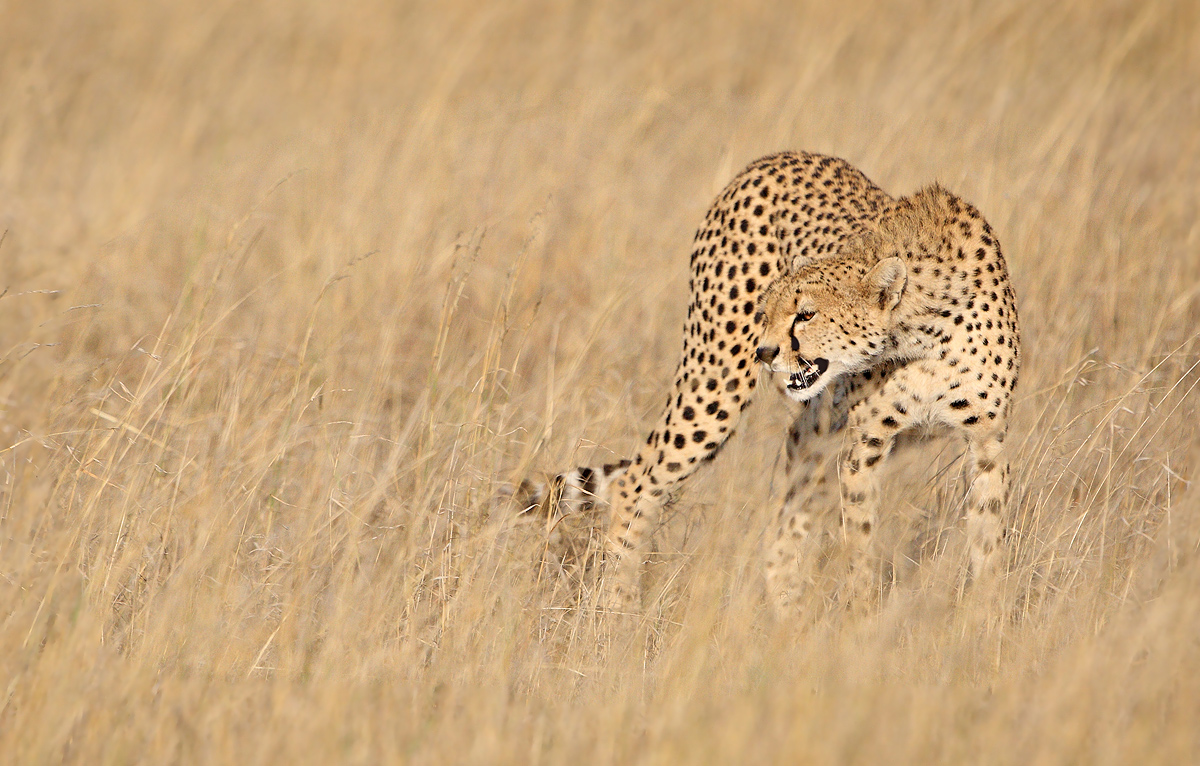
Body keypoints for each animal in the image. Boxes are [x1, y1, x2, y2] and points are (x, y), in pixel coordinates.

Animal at [512, 150, 1020, 615]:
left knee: (788, 497)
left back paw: (784, 611)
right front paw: (861, 619)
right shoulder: (865, 447)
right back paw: (617, 609)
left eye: (807, 314)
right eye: (766, 311)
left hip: (818, 424)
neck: (924, 331)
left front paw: (986, 624)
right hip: (714, 388)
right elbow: (859, 546)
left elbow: (989, 543)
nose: (766, 352)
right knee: (637, 482)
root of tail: (775, 158)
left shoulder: (987, 442)